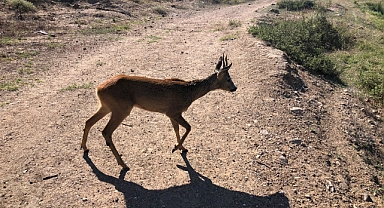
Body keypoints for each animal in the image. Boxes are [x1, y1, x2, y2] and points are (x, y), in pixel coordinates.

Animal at [82, 54, 236, 169]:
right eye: (228, 79)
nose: (235, 88)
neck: (190, 92)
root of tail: (98, 89)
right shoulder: (174, 111)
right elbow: (188, 127)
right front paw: (176, 148)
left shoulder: (171, 113)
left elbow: (176, 129)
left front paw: (181, 147)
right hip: (121, 109)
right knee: (106, 131)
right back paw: (123, 164)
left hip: (106, 106)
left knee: (88, 121)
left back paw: (84, 148)